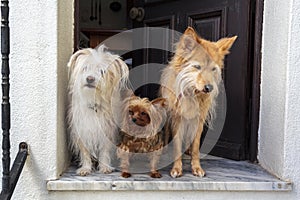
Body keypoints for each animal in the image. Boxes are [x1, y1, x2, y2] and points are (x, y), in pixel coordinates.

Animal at [67, 45, 128, 175]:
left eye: (102, 71)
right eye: (85, 68)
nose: (90, 78)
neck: (93, 103)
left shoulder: (107, 131)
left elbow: (104, 151)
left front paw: (104, 167)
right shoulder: (82, 131)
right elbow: (85, 152)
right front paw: (86, 168)